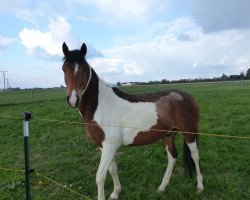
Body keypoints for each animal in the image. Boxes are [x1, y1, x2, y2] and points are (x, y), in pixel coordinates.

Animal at [61, 42, 204, 200]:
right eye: (63, 68)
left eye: (85, 69)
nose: (73, 100)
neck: (102, 105)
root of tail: (188, 97)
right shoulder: (103, 146)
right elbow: (112, 169)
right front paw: (115, 192)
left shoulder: (110, 145)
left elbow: (100, 176)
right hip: (168, 135)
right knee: (172, 157)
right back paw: (162, 187)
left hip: (189, 133)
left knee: (195, 156)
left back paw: (200, 186)